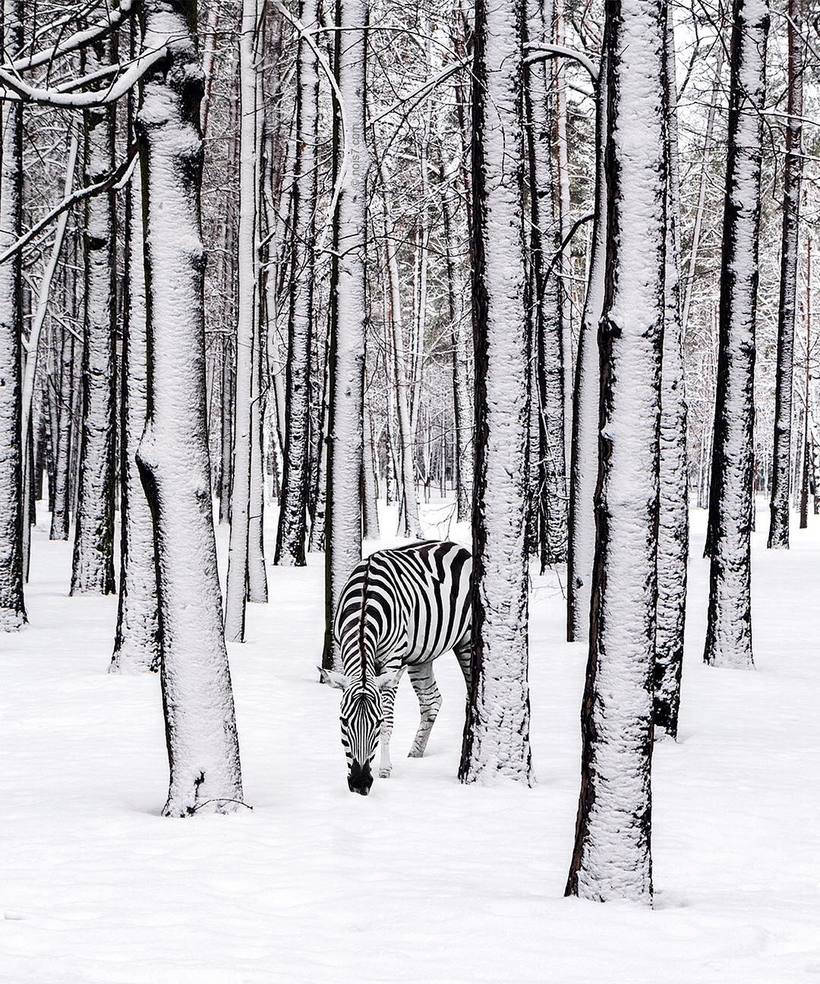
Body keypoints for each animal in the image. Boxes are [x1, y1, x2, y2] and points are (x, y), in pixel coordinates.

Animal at [322, 540, 474, 796]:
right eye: (343, 722)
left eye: (376, 722)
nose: (360, 784)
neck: (365, 601)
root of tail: (457, 546)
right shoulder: (346, 651)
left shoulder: (392, 660)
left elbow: (390, 719)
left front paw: (385, 770)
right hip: (421, 655)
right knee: (431, 701)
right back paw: (416, 752)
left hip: (468, 640)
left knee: (472, 692)